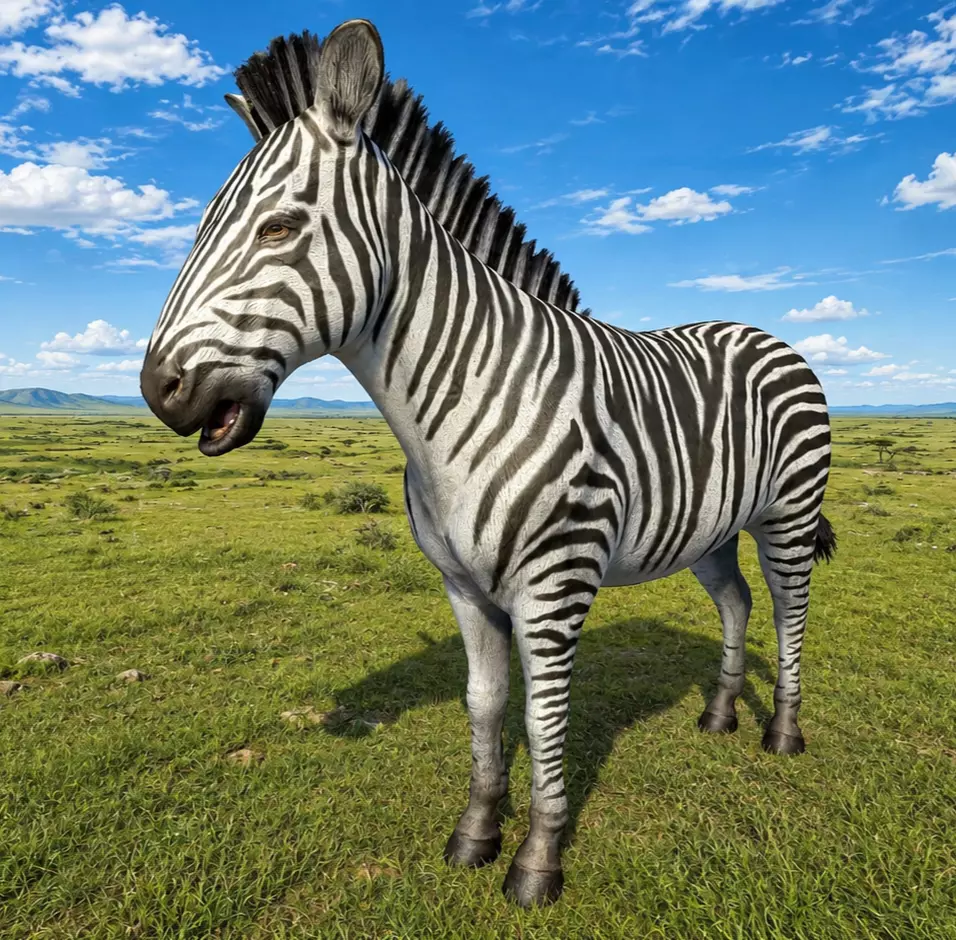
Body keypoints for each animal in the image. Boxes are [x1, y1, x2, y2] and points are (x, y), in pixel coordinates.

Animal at [140, 19, 837, 908]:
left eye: (277, 230)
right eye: (200, 227)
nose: (158, 390)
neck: (463, 400)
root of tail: (763, 332)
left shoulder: (554, 587)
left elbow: (542, 717)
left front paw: (537, 860)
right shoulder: (463, 587)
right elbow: (482, 704)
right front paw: (475, 831)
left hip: (788, 511)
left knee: (789, 610)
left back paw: (782, 731)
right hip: (708, 529)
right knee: (738, 601)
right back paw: (719, 715)